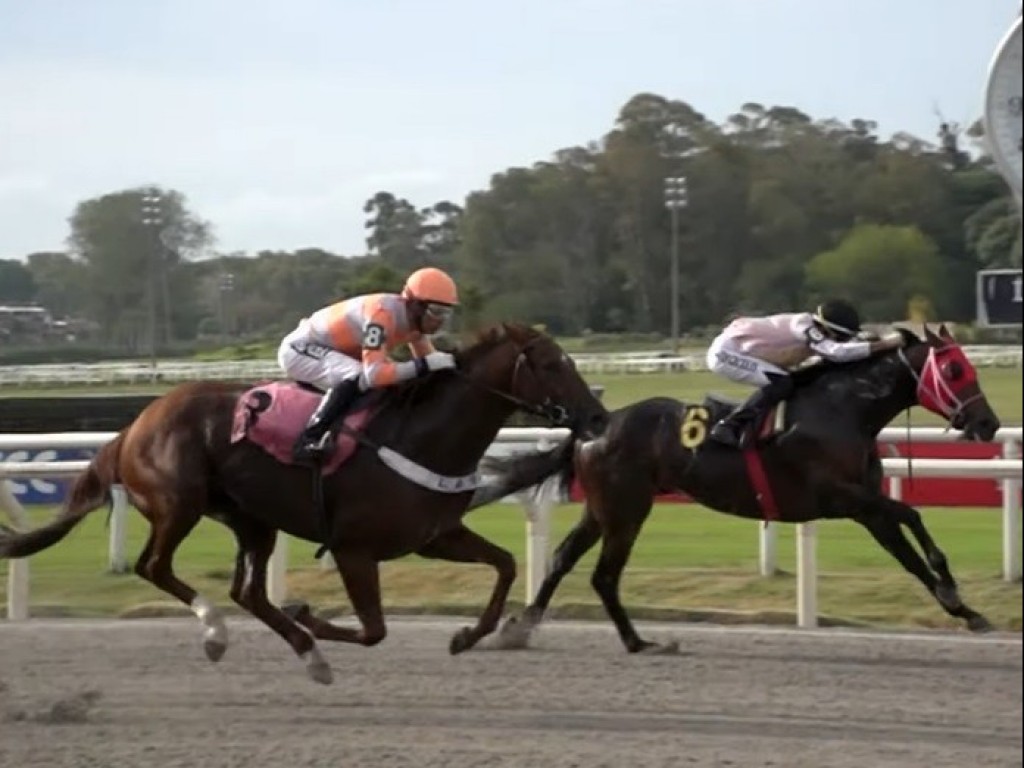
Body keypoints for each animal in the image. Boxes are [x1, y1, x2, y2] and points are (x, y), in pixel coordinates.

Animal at [0, 325, 606, 684]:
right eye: (553, 365)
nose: (598, 417)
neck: (420, 435)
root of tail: (134, 426)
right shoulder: (354, 549)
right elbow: (373, 629)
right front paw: (310, 613)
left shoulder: (433, 536)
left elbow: (504, 565)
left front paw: (469, 635)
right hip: (178, 503)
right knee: (157, 566)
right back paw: (219, 632)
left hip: (251, 518)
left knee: (246, 590)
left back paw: (304, 649)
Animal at [475, 325, 1003, 655]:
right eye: (954, 371)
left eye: (969, 368)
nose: (988, 424)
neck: (844, 410)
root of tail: (594, 425)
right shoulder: (841, 497)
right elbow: (912, 515)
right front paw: (953, 588)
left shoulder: (866, 510)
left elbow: (910, 555)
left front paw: (967, 610)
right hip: (627, 509)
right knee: (603, 575)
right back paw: (638, 642)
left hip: (604, 507)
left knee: (562, 558)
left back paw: (521, 627)